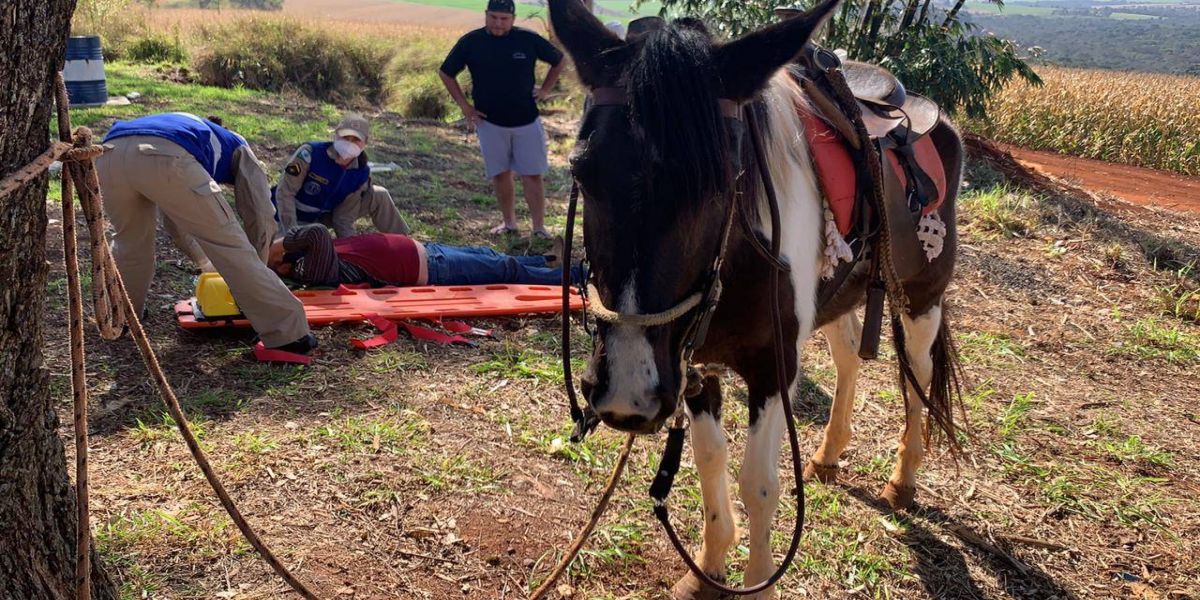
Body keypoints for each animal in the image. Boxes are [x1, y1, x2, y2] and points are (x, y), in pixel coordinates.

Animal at [549, 0, 964, 596]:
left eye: (725, 181)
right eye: (583, 173)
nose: (628, 395)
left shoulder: (772, 365)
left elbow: (760, 484)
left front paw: (759, 578)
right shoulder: (691, 363)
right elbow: (709, 460)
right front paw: (709, 565)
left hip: (921, 298)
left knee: (918, 376)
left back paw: (902, 480)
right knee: (847, 358)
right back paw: (828, 454)